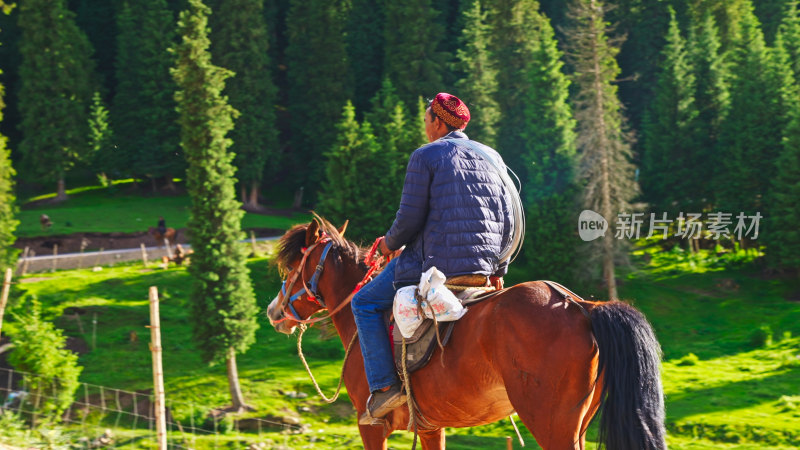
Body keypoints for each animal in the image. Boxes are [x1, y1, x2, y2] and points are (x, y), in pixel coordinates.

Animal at [266, 216, 664, 448]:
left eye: (292, 266)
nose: (274, 311)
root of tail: (581, 306)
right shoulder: (430, 427)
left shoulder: (372, 428)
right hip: (578, 425)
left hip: (554, 426)